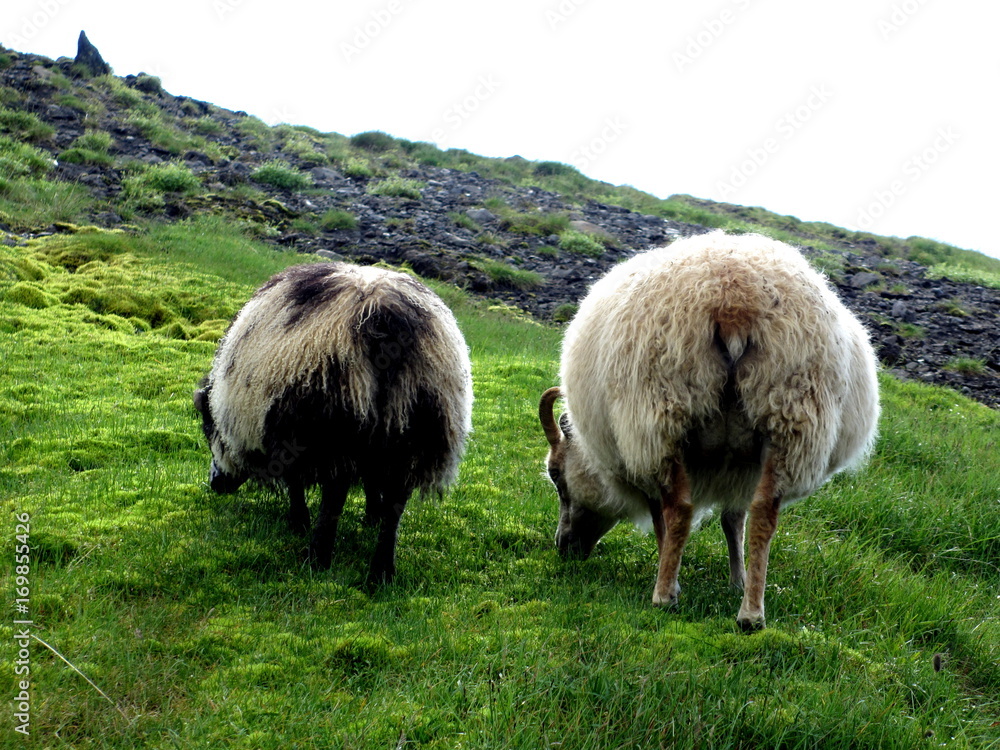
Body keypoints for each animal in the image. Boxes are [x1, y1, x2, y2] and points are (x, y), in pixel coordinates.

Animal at [194, 262, 473, 584]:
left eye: (208, 431)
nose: (215, 485)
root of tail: (381, 316)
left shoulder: (287, 436)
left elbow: (295, 482)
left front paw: (298, 522)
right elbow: (370, 482)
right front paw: (370, 516)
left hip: (335, 424)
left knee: (335, 495)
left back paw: (318, 556)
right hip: (414, 427)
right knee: (396, 502)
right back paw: (381, 572)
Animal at [539, 231, 880, 630]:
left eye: (556, 476)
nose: (563, 548)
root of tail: (734, 303)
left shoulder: (643, 454)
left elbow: (661, 516)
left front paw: (672, 575)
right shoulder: (741, 467)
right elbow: (734, 520)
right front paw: (738, 580)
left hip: (664, 413)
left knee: (680, 509)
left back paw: (664, 596)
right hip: (789, 416)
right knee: (764, 515)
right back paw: (751, 613)